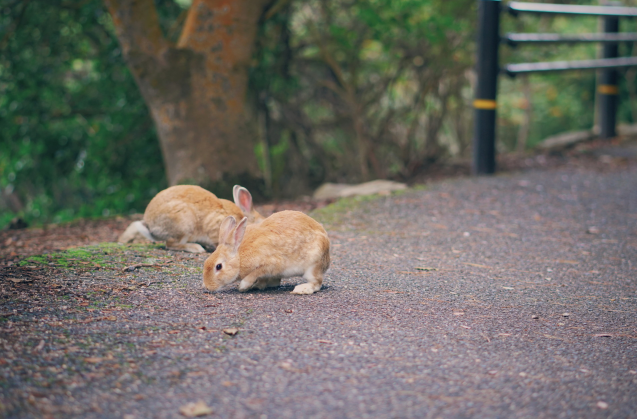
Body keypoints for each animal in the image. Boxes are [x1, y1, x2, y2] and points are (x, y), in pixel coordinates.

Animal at [118, 185, 262, 253]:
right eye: (261, 222)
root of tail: (150, 226)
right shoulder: (215, 226)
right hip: (185, 222)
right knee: (170, 244)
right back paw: (196, 248)